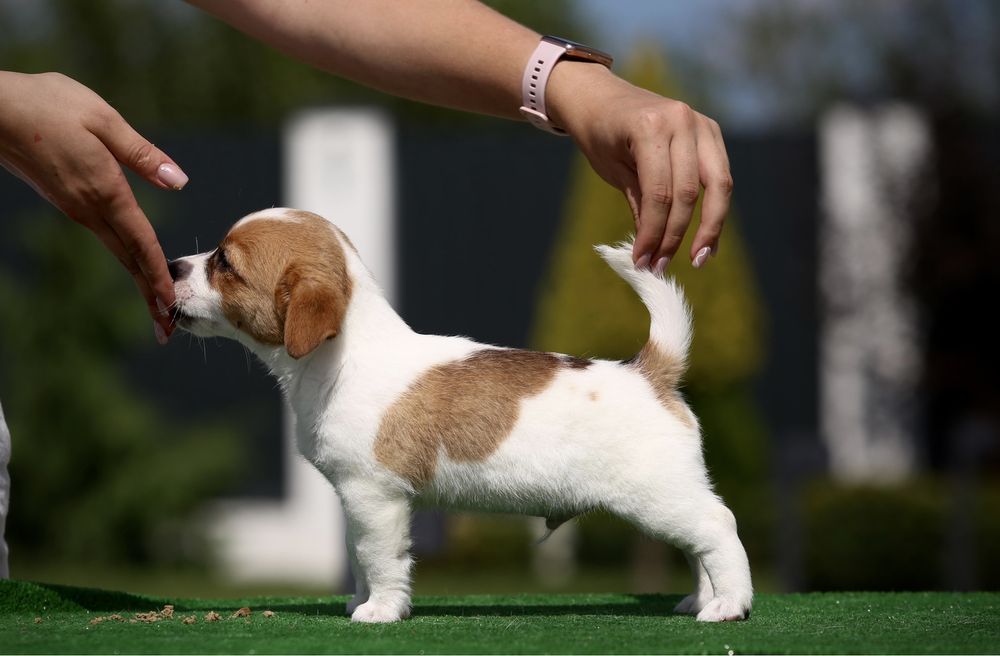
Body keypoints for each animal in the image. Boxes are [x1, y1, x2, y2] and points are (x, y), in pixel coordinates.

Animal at [172, 208, 752, 624]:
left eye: (224, 262)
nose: (173, 267)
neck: (345, 356)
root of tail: (649, 371)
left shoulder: (374, 497)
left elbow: (378, 557)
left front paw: (380, 610)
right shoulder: (353, 498)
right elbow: (356, 555)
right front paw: (358, 599)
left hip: (658, 497)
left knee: (718, 528)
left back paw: (728, 605)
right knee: (698, 546)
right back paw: (700, 600)